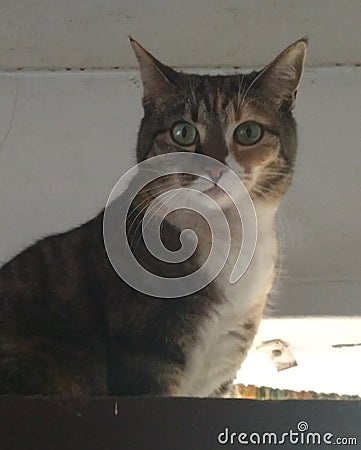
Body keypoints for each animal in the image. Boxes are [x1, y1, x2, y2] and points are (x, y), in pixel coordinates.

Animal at [0, 38, 306, 398]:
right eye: (183, 132)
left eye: (249, 132)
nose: (215, 165)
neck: (226, 236)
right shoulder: (146, 357)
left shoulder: (222, 367)